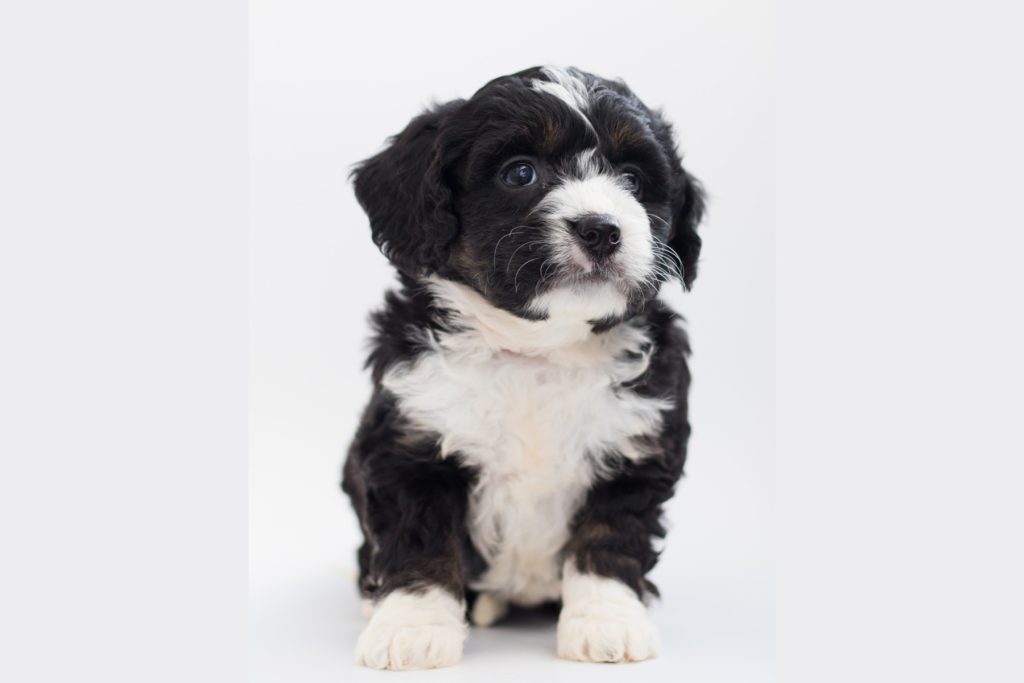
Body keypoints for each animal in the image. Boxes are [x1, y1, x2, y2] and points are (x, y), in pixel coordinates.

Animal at [342, 66, 704, 671]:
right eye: (520, 173)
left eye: (632, 178)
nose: (602, 228)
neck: (539, 349)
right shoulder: (411, 443)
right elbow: (420, 539)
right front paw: (411, 627)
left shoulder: (635, 449)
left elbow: (610, 537)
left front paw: (606, 622)